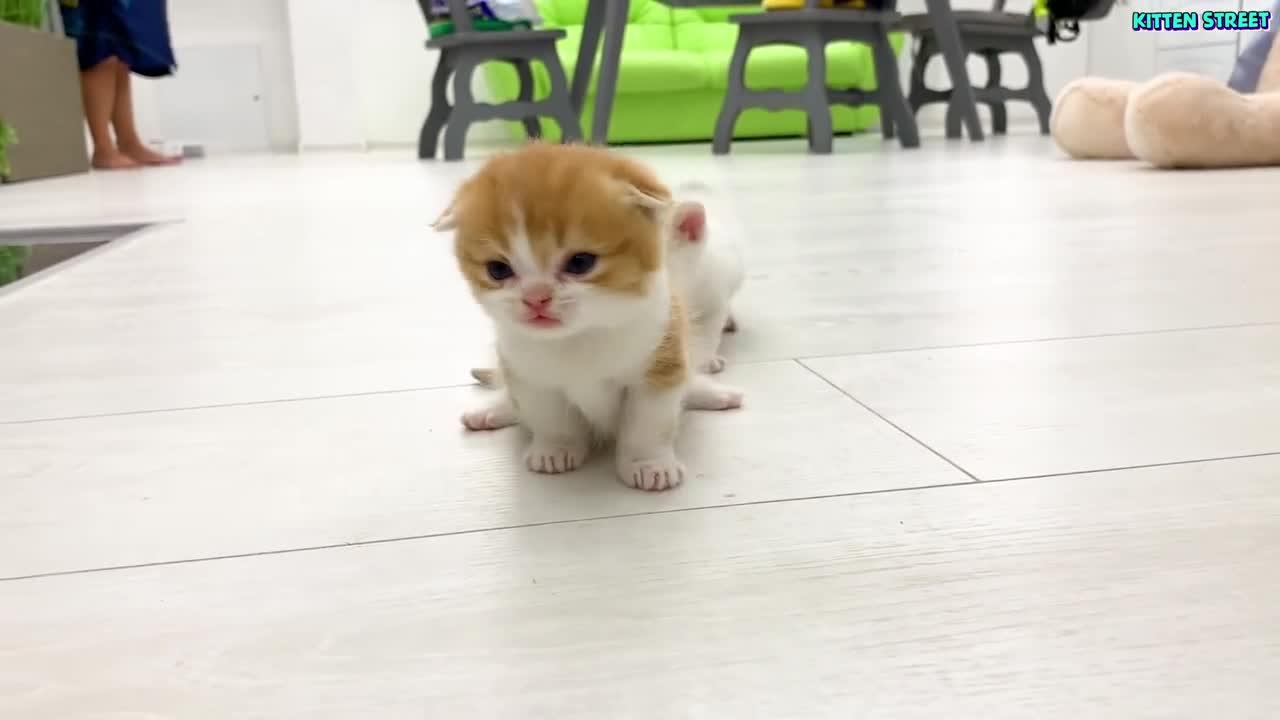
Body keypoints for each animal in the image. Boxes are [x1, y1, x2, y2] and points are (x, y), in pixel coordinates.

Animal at [432, 141, 691, 486]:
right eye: (498, 269)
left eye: (580, 262)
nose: (535, 298)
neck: (578, 337)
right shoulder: (530, 376)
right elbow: (550, 418)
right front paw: (555, 450)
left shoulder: (659, 364)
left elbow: (649, 423)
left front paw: (648, 464)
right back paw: (492, 412)